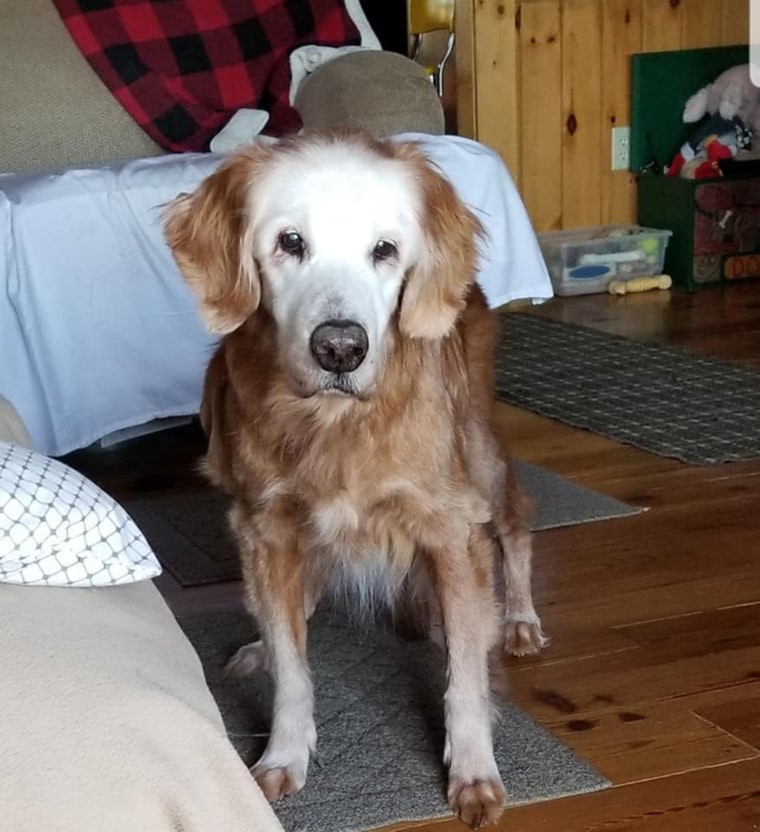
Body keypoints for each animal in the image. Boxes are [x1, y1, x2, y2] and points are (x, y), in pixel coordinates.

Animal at [166, 132, 548, 824]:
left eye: (385, 250)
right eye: (290, 242)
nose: (340, 348)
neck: (335, 422)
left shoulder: (451, 528)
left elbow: (465, 678)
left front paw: (474, 770)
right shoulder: (265, 529)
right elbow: (292, 667)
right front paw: (284, 754)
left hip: (480, 458)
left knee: (515, 523)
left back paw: (519, 620)